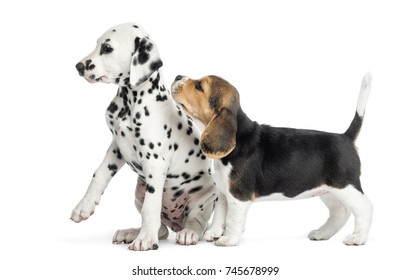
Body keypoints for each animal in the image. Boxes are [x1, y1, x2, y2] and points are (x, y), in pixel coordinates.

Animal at [70, 23, 218, 252]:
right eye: (97, 44)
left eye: (107, 48)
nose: (78, 66)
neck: (130, 103)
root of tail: (176, 223)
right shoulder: (116, 148)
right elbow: (99, 175)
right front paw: (84, 206)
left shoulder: (155, 163)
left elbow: (151, 207)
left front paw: (146, 240)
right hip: (139, 192)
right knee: (162, 229)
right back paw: (131, 232)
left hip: (204, 198)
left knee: (197, 224)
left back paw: (187, 233)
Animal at [171, 73, 374, 246]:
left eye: (199, 86)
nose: (178, 76)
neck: (238, 138)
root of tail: (345, 137)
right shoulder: (223, 193)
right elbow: (220, 215)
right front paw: (213, 234)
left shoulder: (238, 196)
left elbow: (232, 219)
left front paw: (228, 239)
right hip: (327, 190)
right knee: (340, 211)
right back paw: (322, 233)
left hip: (345, 185)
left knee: (365, 207)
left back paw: (357, 238)